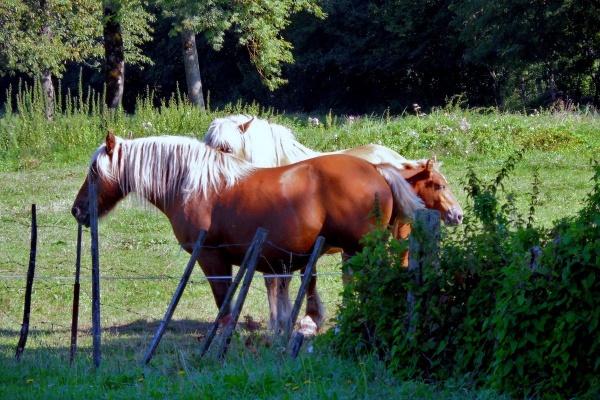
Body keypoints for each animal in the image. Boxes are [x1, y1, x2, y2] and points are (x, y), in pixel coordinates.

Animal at [72, 133, 424, 332]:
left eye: (94, 171)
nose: (77, 210)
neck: (194, 185)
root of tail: (377, 169)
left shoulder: (211, 258)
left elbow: (223, 301)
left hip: (359, 250)